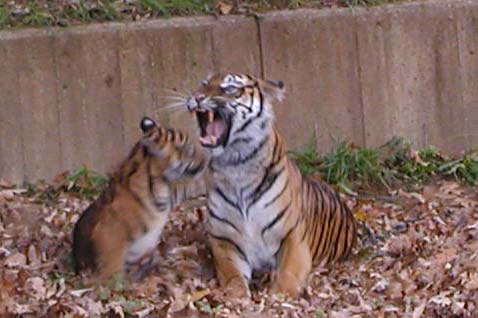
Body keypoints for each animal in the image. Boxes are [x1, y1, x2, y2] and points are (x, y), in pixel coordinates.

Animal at [72, 116, 206, 278]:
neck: (160, 183)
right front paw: (114, 283)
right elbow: (112, 267)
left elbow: (191, 183)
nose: (205, 159)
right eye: (187, 149)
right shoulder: (108, 234)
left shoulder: (173, 191)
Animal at [183, 72, 354, 298]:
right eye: (203, 84)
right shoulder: (224, 241)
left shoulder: (293, 236)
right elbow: (232, 275)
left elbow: (288, 274)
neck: (236, 166)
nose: (197, 97)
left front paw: (277, 296)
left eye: (230, 88)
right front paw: (237, 296)